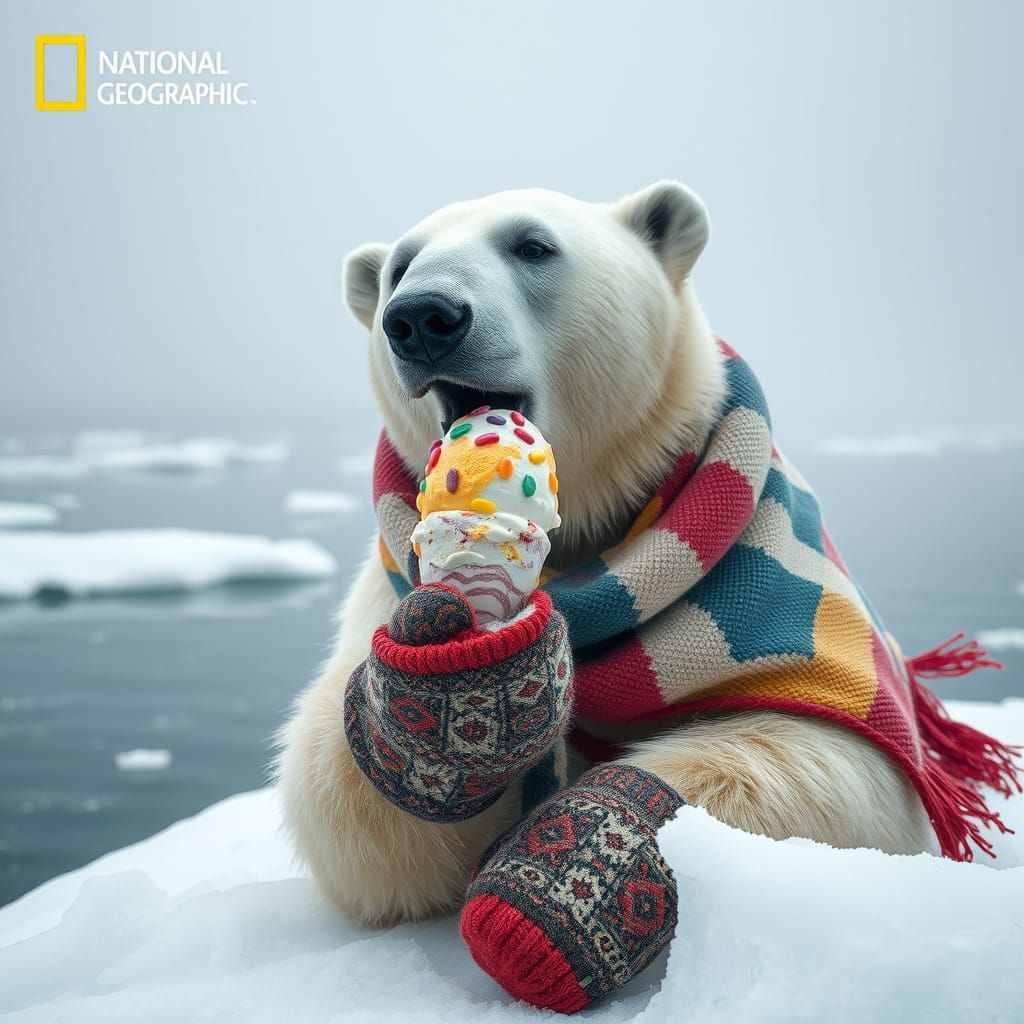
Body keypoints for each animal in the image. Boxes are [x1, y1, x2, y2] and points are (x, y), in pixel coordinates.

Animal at [276, 182, 1014, 1013]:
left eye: (532, 245)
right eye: (401, 265)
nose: (424, 317)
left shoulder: (797, 616)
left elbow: (836, 763)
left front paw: (545, 894)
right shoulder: (386, 587)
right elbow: (344, 802)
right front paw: (452, 696)